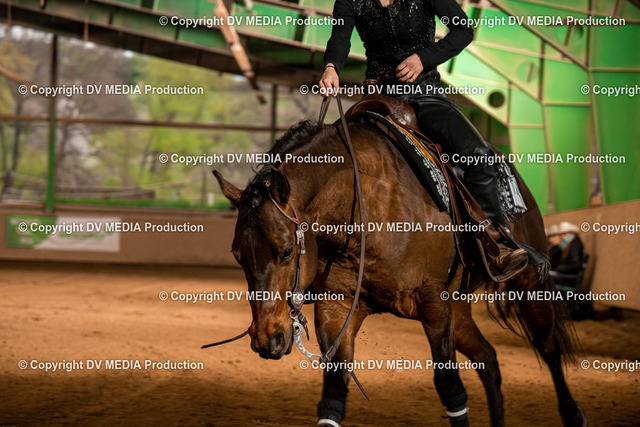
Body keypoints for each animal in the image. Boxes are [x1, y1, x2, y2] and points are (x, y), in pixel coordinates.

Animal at [213, 113, 586, 427]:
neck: (366, 204)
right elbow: (333, 394)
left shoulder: (434, 305)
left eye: (287, 250)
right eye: (237, 255)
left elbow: (451, 388)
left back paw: (573, 414)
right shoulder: (337, 306)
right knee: (489, 359)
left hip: (528, 283)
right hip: (460, 309)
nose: (267, 339)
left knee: (548, 347)